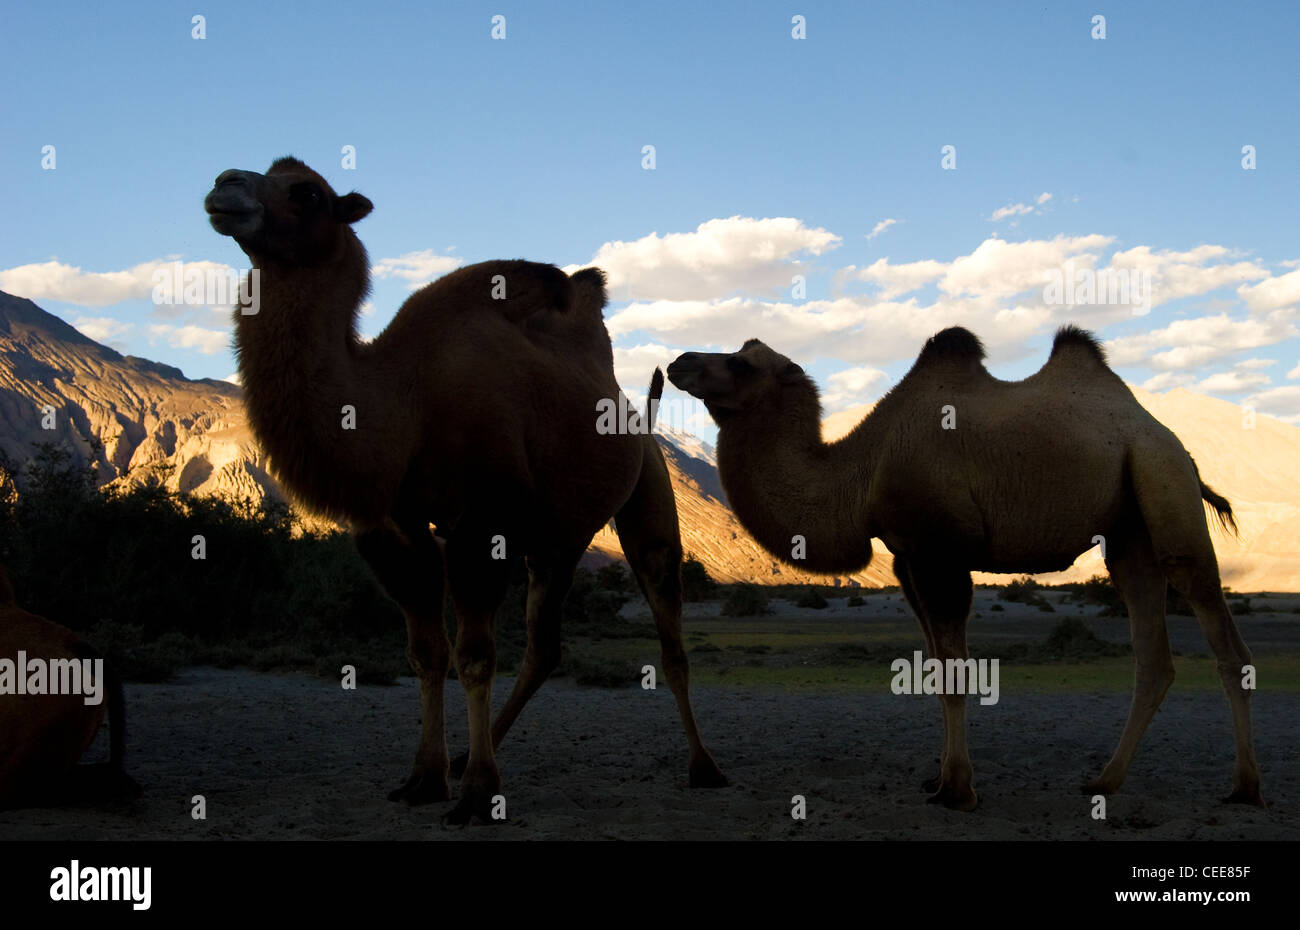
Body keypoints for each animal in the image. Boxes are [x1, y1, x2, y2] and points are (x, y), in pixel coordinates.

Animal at [208, 158, 728, 822]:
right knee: (544, 647)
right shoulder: (395, 529)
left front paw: (479, 794)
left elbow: (474, 654)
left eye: (307, 192)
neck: (404, 397)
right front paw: (426, 778)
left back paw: (704, 766)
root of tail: (642, 421)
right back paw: (465, 759)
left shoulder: (485, 517)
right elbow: (426, 652)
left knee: (669, 636)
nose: (225, 185)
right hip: (556, 537)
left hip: (647, 499)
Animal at [670, 331, 1258, 811]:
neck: (860, 472)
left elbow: (955, 674)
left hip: (1164, 480)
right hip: (1128, 531)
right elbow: (934, 671)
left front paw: (956, 789)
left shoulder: (941, 552)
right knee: (1152, 650)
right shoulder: (907, 558)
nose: (679, 361)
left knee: (1219, 629)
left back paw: (1244, 787)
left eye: (741, 363)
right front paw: (938, 779)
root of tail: (1169, 439)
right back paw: (1105, 781)